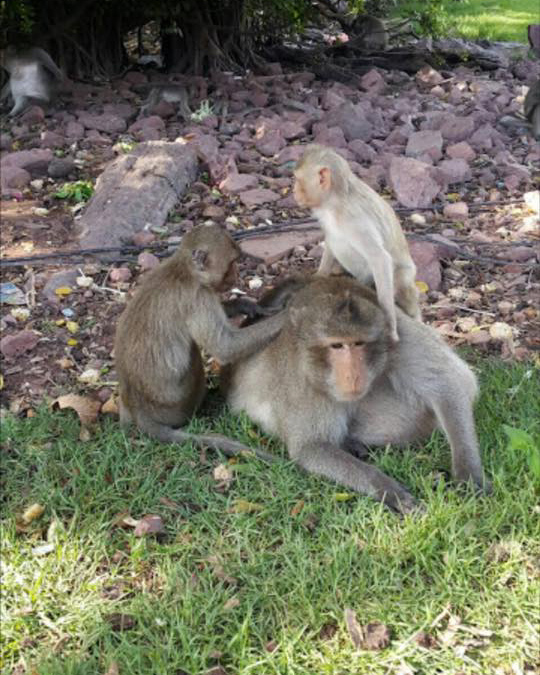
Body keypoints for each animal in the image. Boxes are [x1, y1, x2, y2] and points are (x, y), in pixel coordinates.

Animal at [114, 223, 286, 460]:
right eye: (232, 263)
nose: (236, 275)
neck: (185, 270)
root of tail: (138, 408)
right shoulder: (199, 298)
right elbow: (225, 347)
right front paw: (291, 315)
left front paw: (247, 305)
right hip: (177, 405)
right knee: (194, 351)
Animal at [223, 275, 491, 514]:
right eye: (337, 346)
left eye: (359, 343)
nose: (352, 375)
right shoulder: (300, 375)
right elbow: (310, 447)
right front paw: (386, 488)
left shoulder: (398, 335)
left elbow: (449, 383)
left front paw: (468, 474)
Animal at [293, 144, 420, 343]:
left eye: (298, 180)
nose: (293, 190)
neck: (335, 202)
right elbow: (329, 239)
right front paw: (320, 275)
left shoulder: (355, 219)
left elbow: (380, 258)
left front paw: (390, 326)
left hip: (404, 274)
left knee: (400, 284)